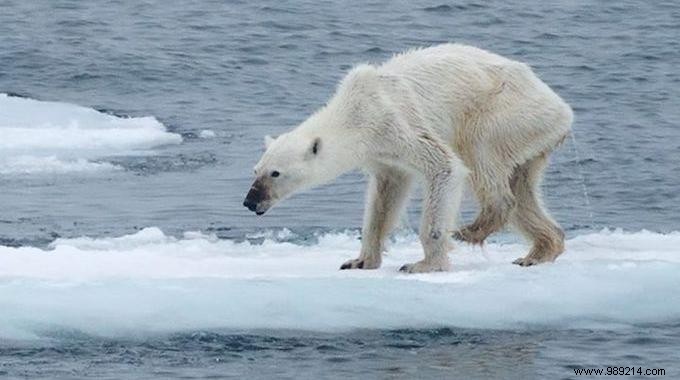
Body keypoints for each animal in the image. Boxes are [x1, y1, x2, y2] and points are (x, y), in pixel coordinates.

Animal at [244, 43, 572, 272]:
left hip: (506, 112)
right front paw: (359, 261)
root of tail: (562, 109)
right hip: (530, 137)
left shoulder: (395, 122)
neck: (355, 112)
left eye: (275, 173)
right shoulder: (382, 154)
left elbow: (444, 167)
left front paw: (423, 264)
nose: (250, 201)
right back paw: (538, 251)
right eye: (256, 170)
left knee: (481, 153)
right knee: (523, 187)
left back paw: (470, 230)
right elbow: (385, 197)